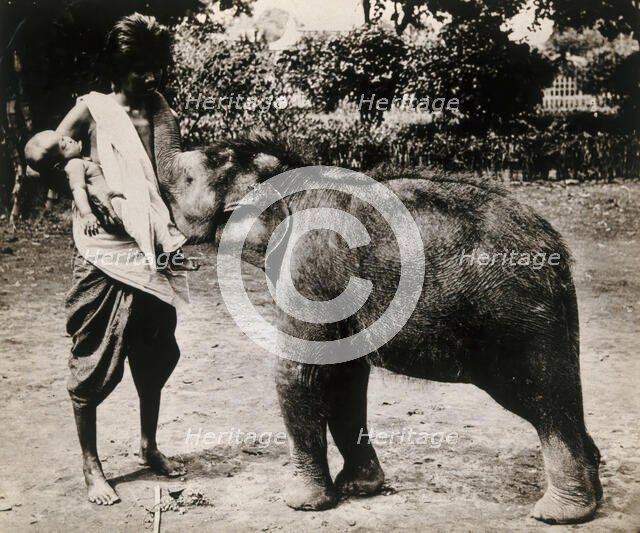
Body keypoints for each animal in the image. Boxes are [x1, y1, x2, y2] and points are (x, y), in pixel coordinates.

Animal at [151, 92, 602, 524]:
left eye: (188, 179)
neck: (292, 172)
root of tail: (554, 246)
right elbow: (345, 374)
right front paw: (360, 488)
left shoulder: (310, 264)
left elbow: (297, 372)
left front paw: (301, 504)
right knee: (560, 392)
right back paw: (592, 492)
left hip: (515, 318)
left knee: (540, 396)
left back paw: (560, 513)